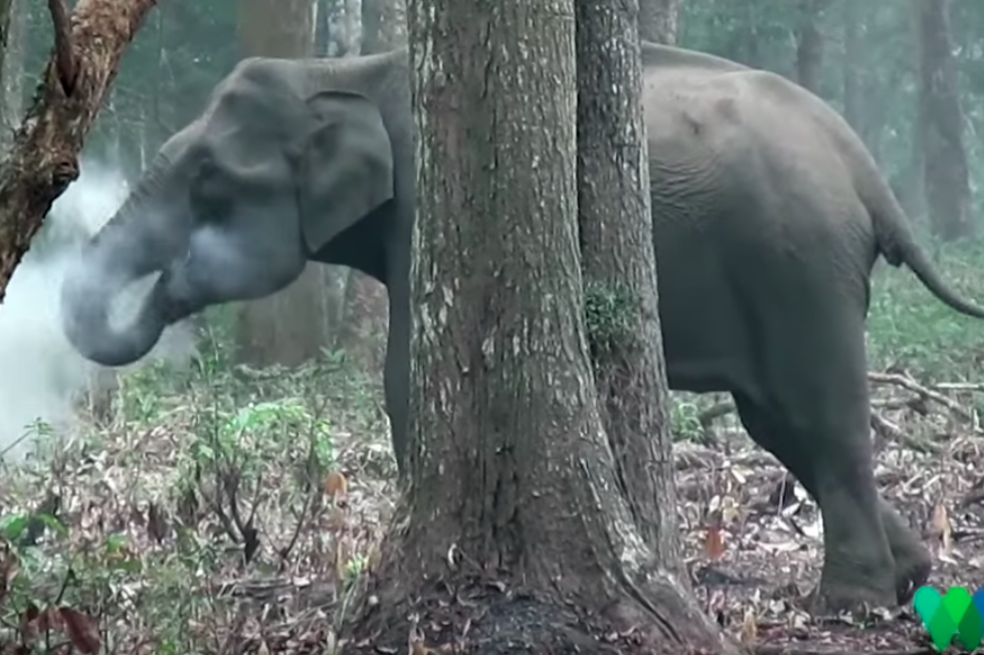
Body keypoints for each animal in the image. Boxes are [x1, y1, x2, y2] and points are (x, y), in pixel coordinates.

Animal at [60, 43, 984, 614]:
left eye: (209, 182)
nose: (174, 277)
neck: (348, 69)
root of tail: (865, 169)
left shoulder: (430, 205)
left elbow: (405, 378)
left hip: (798, 263)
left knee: (818, 415)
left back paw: (851, 600)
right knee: (779, 420)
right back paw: (911, 576)